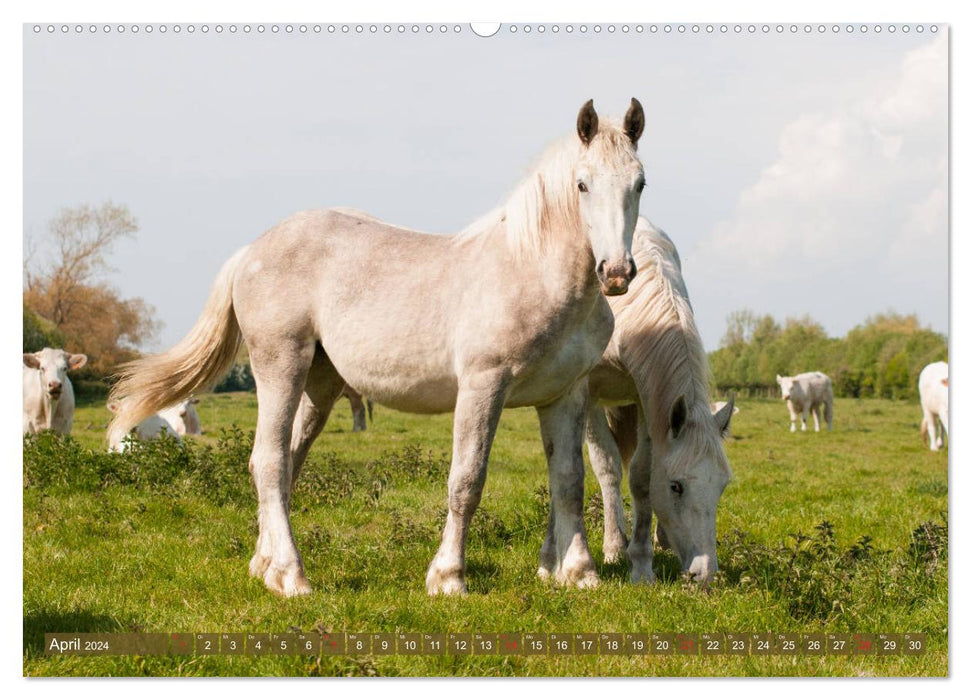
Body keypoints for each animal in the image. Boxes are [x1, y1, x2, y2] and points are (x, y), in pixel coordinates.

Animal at [110, 98, 648, 600]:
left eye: (640, 183)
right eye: (582, 185)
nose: (616, 273)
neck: (530, 271)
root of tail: (251, 252)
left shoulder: (564, 396)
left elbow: (569, 482)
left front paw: (579, 574)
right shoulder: (483, 386)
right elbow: (467, 480)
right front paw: (448, 577)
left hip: (320, 384)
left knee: (285, 463)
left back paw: (266, 567)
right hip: (280, 367)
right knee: (268, 461)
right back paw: (293, 576)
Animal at [580, 220, 732, 584]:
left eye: (722, 486)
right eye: (676, 487)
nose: (705, 573)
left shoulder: (648, 400)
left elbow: (642, 475)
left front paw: (641, 562)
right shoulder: (588, 393)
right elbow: (607, 467)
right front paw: (615, 549)